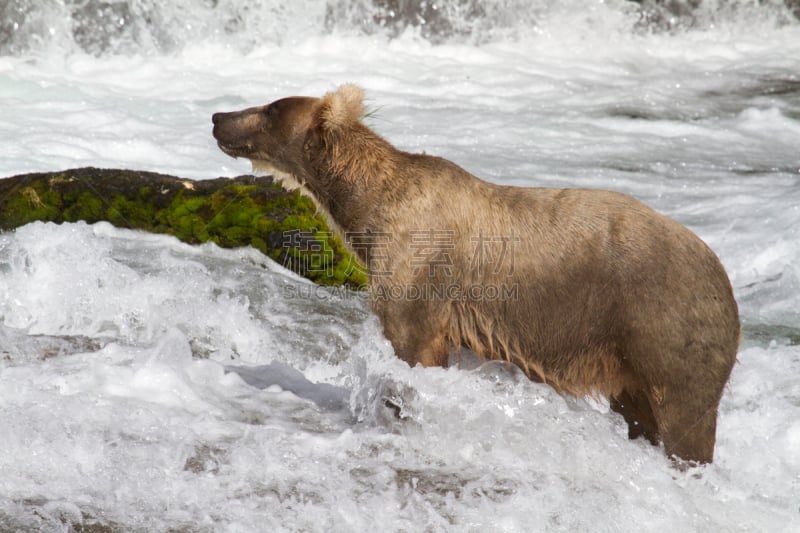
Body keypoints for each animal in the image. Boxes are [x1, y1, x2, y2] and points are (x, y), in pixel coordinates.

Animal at [211, 84, 736, 466]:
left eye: (270, 108)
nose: (218, 116)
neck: (366, 213)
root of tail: (721, 273)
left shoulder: (419, 273)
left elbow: (412, 348)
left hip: (664, 324)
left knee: (683, 418)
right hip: (631, 357)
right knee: (638, 412)